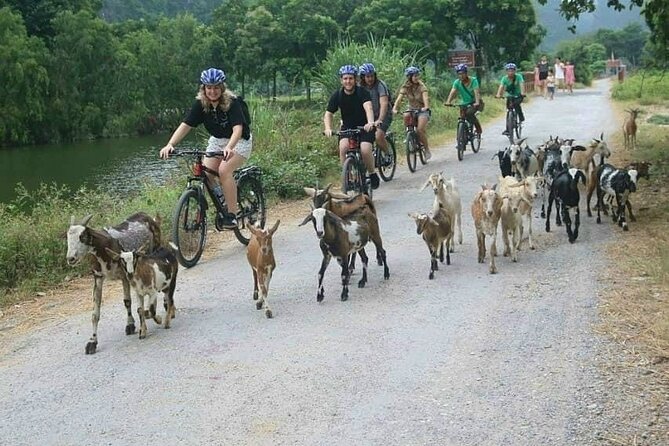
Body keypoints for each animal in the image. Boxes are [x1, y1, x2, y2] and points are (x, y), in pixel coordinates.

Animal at [65, 213, 162, 356]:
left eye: (82, 237)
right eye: (67, 237)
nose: (71, 258)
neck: (104, 247)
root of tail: (146, 216)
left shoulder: (124, 276)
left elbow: (127, 301)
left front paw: (130, 325)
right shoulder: (98, 277)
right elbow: (95, 313)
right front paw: (92, 342)